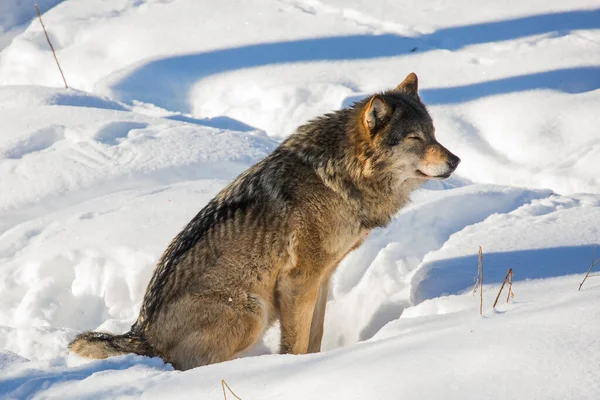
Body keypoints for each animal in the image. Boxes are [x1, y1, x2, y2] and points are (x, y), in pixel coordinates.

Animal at [69, 73, 460, 370]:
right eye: (415, 139)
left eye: (434, 134)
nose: (456, 160)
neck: (339, 177)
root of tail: (143, 334)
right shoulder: (298, 279)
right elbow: (296, 342)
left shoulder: (324, 276)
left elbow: (315, 334)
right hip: (251, 310)